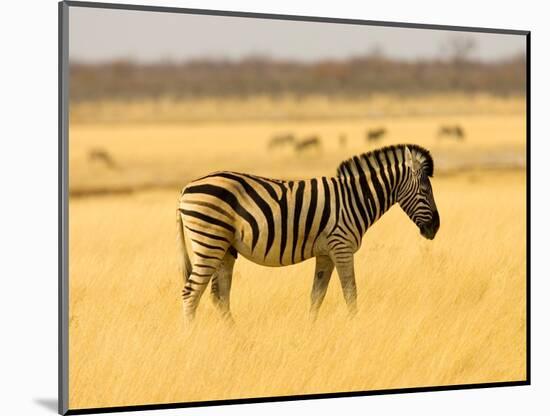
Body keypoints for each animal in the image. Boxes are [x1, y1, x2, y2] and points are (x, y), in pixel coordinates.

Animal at [179, 143, 442, 322]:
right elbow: (351, 293)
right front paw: (355, 327)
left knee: (218, 296)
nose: (436, 228)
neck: (355, 199)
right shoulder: (342, 247)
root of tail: (186, 187)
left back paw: (235, 338)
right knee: (191, 293)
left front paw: (311, 331)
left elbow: (317, 296)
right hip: (210, 242)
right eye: (425, 190)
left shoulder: (325, 253)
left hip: (224, 248)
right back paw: (190, 339)